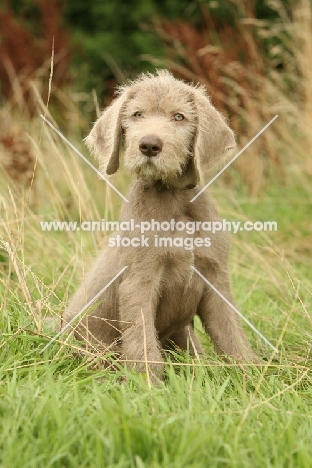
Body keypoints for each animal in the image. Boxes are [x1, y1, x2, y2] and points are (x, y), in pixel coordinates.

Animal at [64, 71, 258, 382]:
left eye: (179, 117)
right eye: (137, 114)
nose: (149, 145)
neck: (174, 199)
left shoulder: (215, 277)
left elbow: (231, 333)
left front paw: (251, 375)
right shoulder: (139, 281)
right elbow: (142, 339)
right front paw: (148, 384)